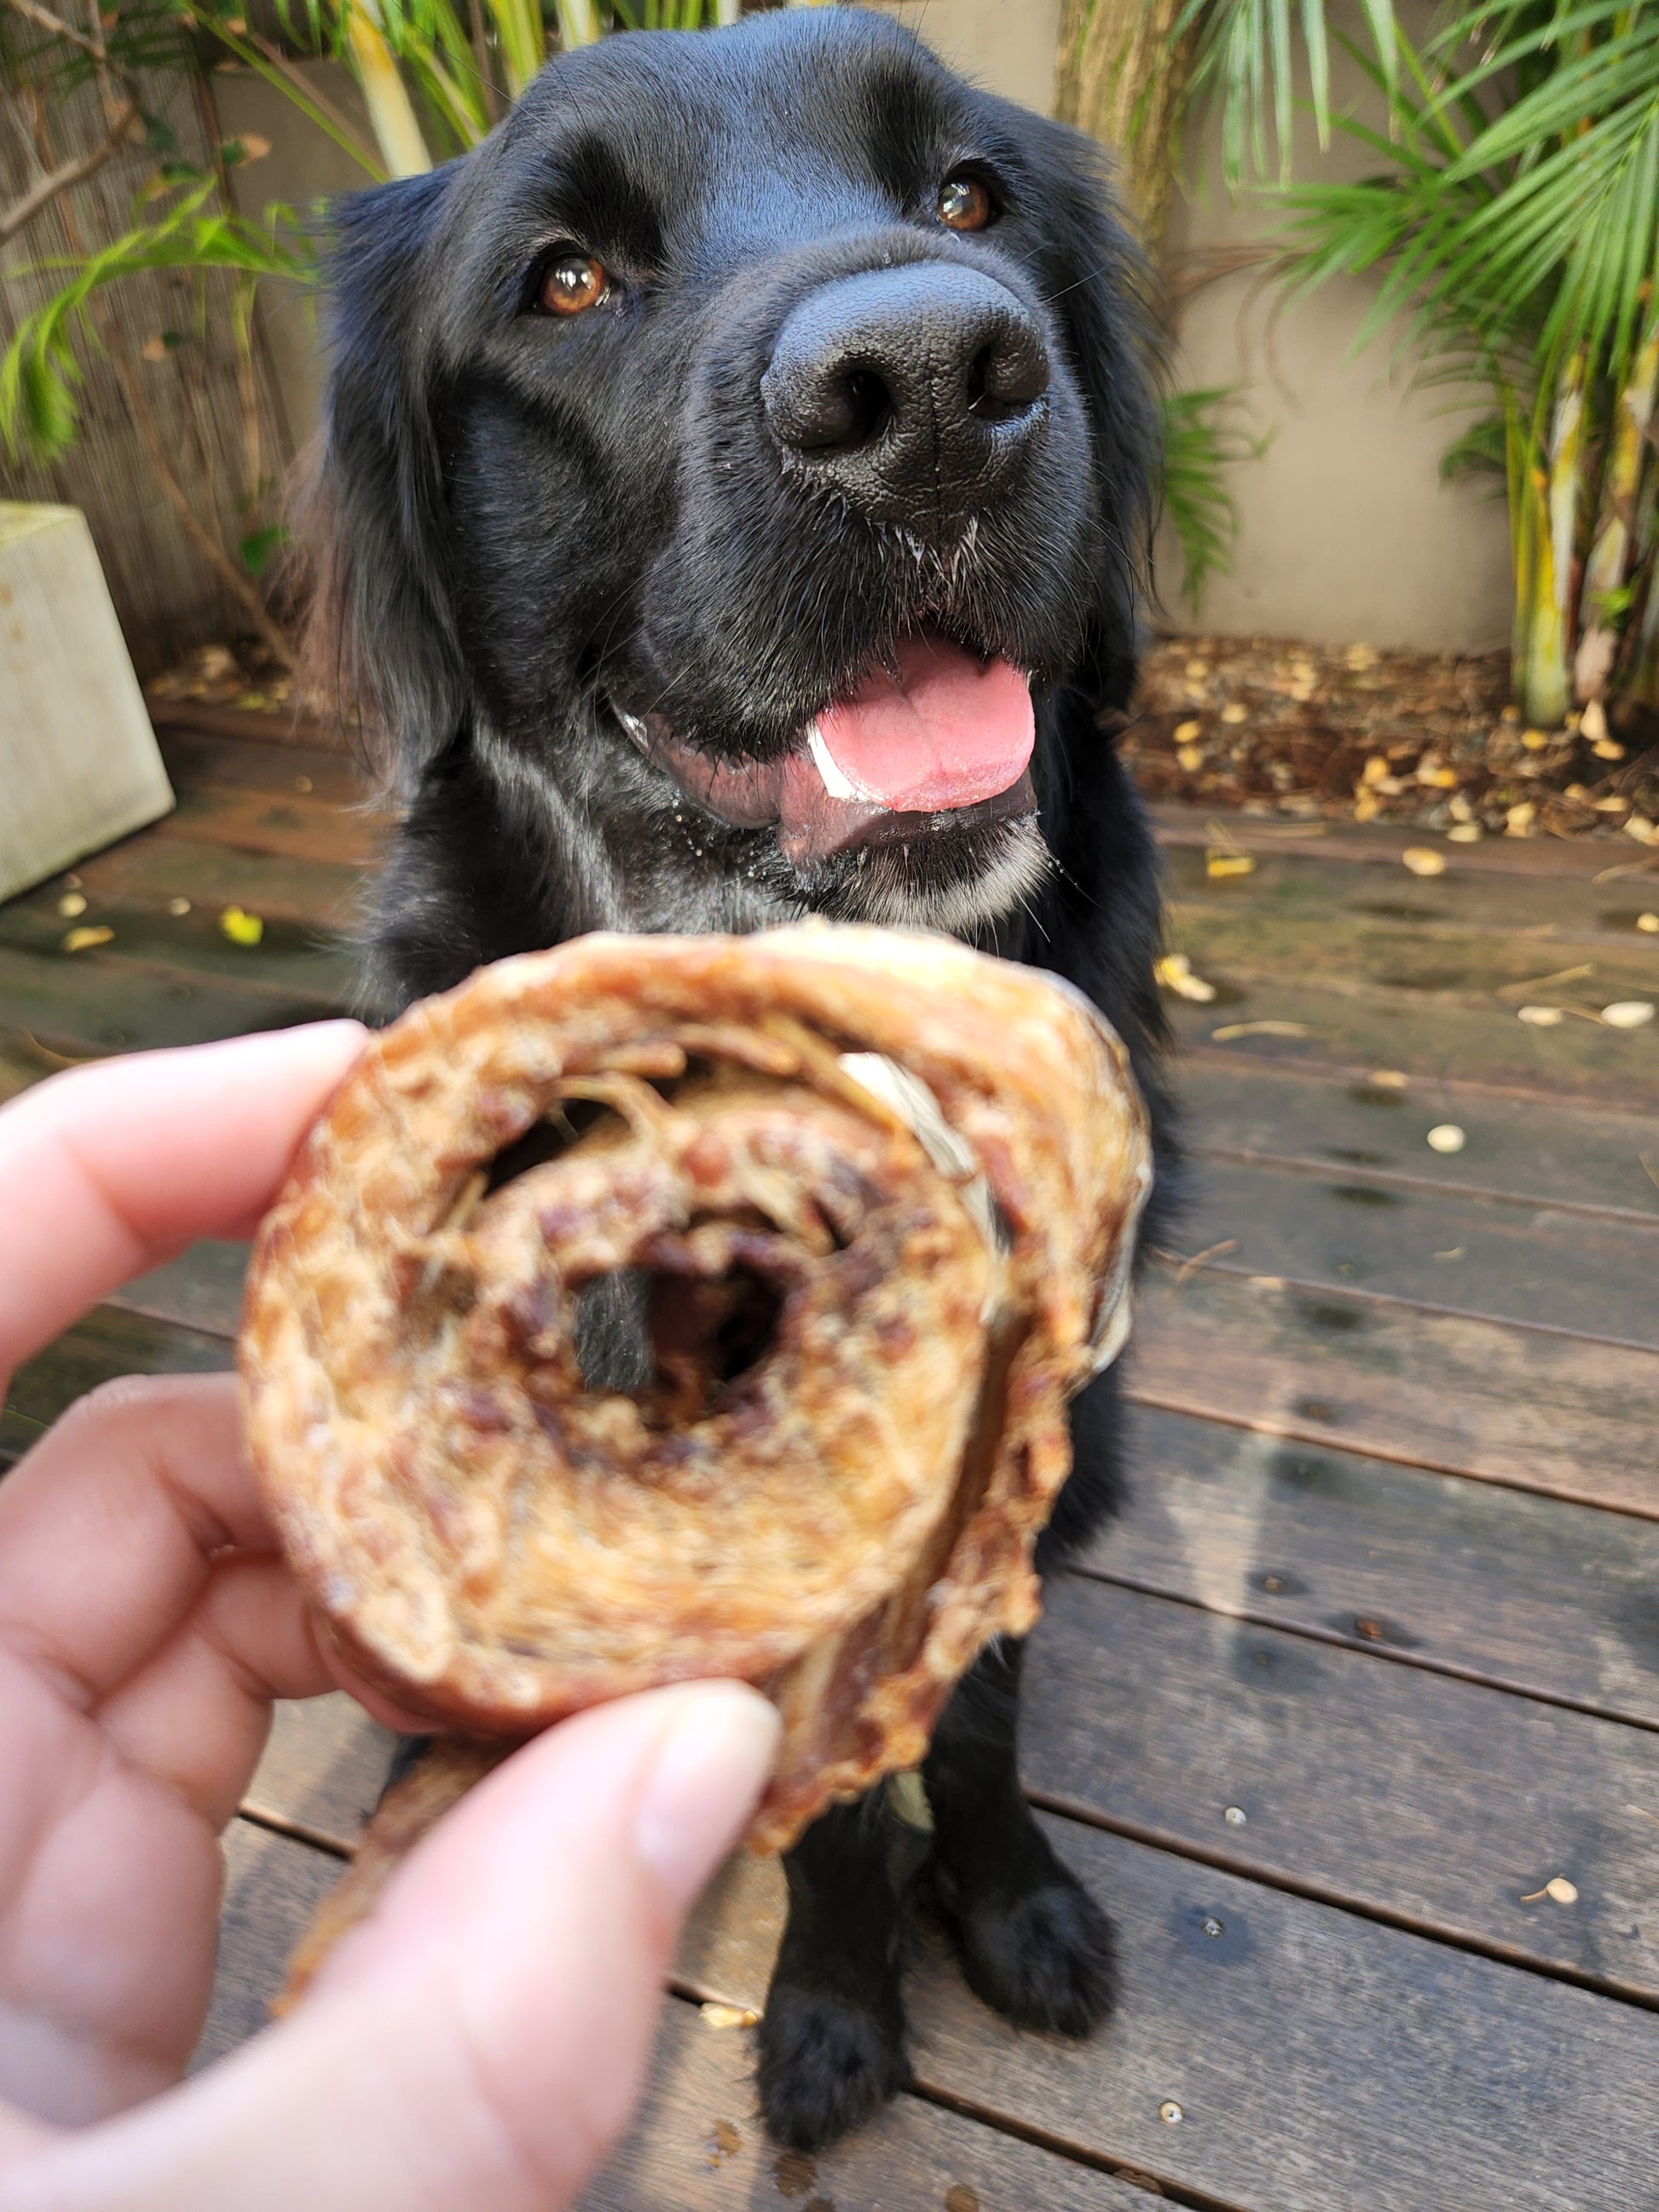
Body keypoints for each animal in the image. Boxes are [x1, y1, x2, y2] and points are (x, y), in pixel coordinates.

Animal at [305, 0, 1176, 2140]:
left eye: (968, 196)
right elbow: (844, 1802)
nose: (932, 382)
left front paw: (1008, 1899)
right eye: (564, 280)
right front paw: (842, 2001)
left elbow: (977, 1723)